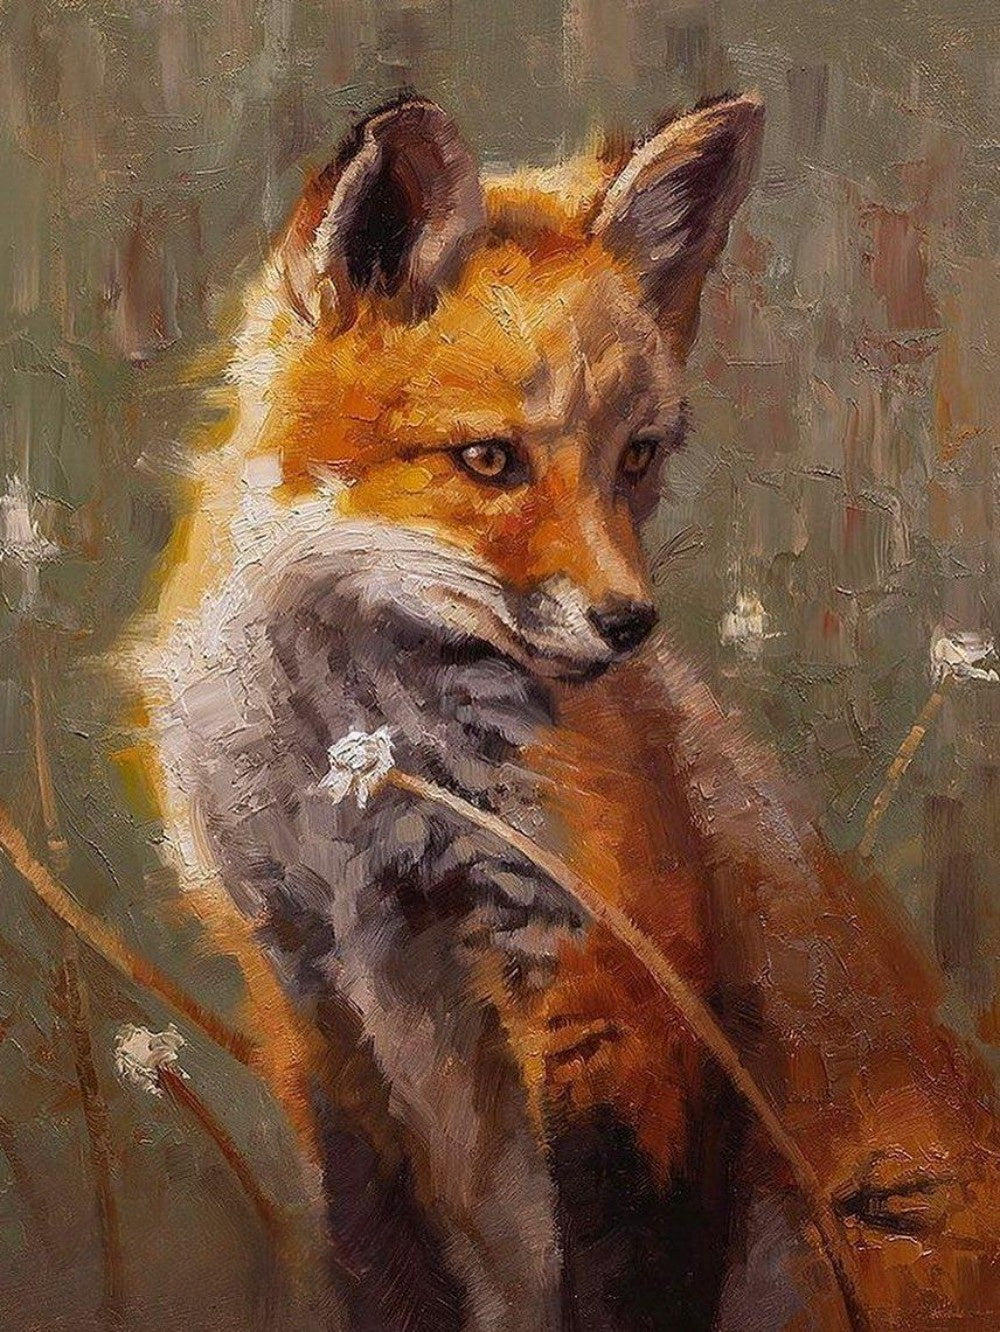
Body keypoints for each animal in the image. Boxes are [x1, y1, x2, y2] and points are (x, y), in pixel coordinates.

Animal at [135, 94, 999, 1331]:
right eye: (489, 459)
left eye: (635, 457)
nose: (628, 624)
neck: (362, 774)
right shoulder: (302, 985)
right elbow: (380, 1259)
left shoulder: (613, 972)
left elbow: (626, 1268)